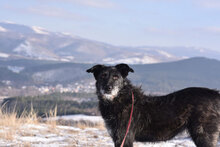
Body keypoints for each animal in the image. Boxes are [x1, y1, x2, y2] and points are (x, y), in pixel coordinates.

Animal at [87, 63, 219, 146]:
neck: (120, 99)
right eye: (103, 76)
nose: (107, 88)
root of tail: (215, 94)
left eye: (116, 77)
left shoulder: (125, 138)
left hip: (203, 135)